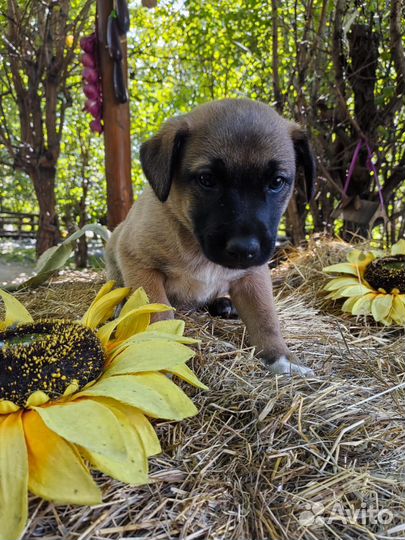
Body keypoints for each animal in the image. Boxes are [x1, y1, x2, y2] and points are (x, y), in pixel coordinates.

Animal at [105, 98, 314, 376]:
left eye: (277, 182)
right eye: (207, 179)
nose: (244, 249)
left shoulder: (254, 274)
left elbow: (265, 317)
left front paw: (281, 357)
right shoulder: (138, 261)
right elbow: (157, 312)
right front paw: (160, 352)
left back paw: (224, 305)